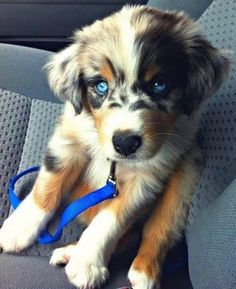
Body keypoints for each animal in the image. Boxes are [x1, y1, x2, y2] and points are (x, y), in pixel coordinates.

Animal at [0, 5, 229, 288]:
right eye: (101, 85)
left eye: (159, 85)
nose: (125, 143)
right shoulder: (68, 141)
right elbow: (47, 187)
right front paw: (17, 230)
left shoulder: (147, 178)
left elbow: (111, 221)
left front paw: (88, 262)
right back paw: (70, 251)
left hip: (187, 175)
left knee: (156, 230)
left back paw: (142, 271)